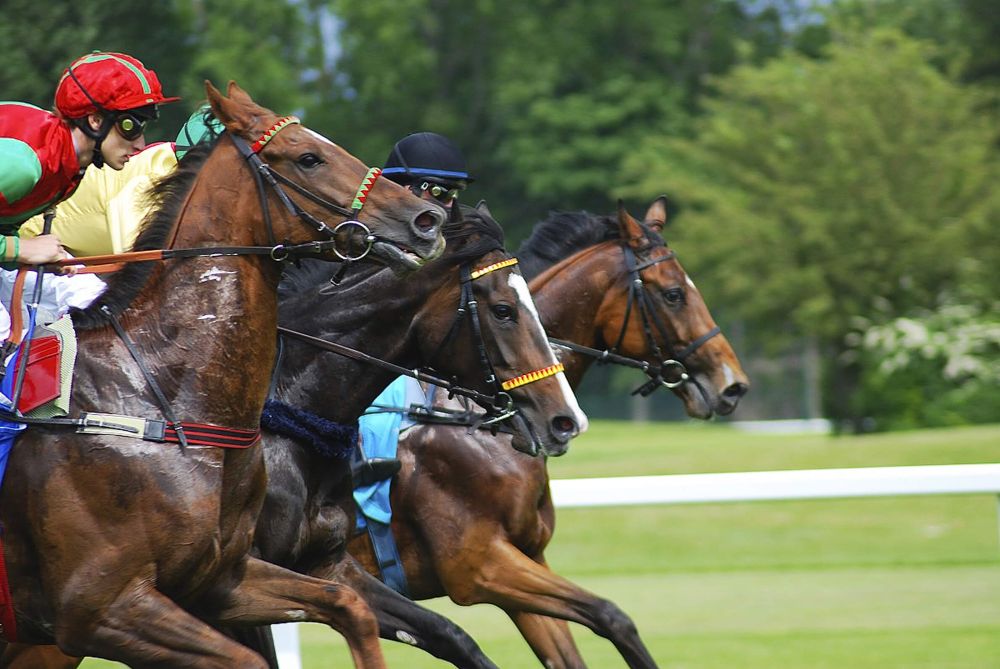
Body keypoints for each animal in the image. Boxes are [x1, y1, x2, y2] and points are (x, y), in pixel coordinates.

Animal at [0, 81, 448, 664]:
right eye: (308, 157)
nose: (427, 220)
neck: (161, 400)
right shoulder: (101, 609)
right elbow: (250, 657)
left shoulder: (222, 579)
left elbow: (350, 607)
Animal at [348, 202, 748, 668]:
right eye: (673, 294)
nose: (732, 385)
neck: (479, 426)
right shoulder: (479, 567)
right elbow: (611, 616)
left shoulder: (525, 558)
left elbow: (583, 641)